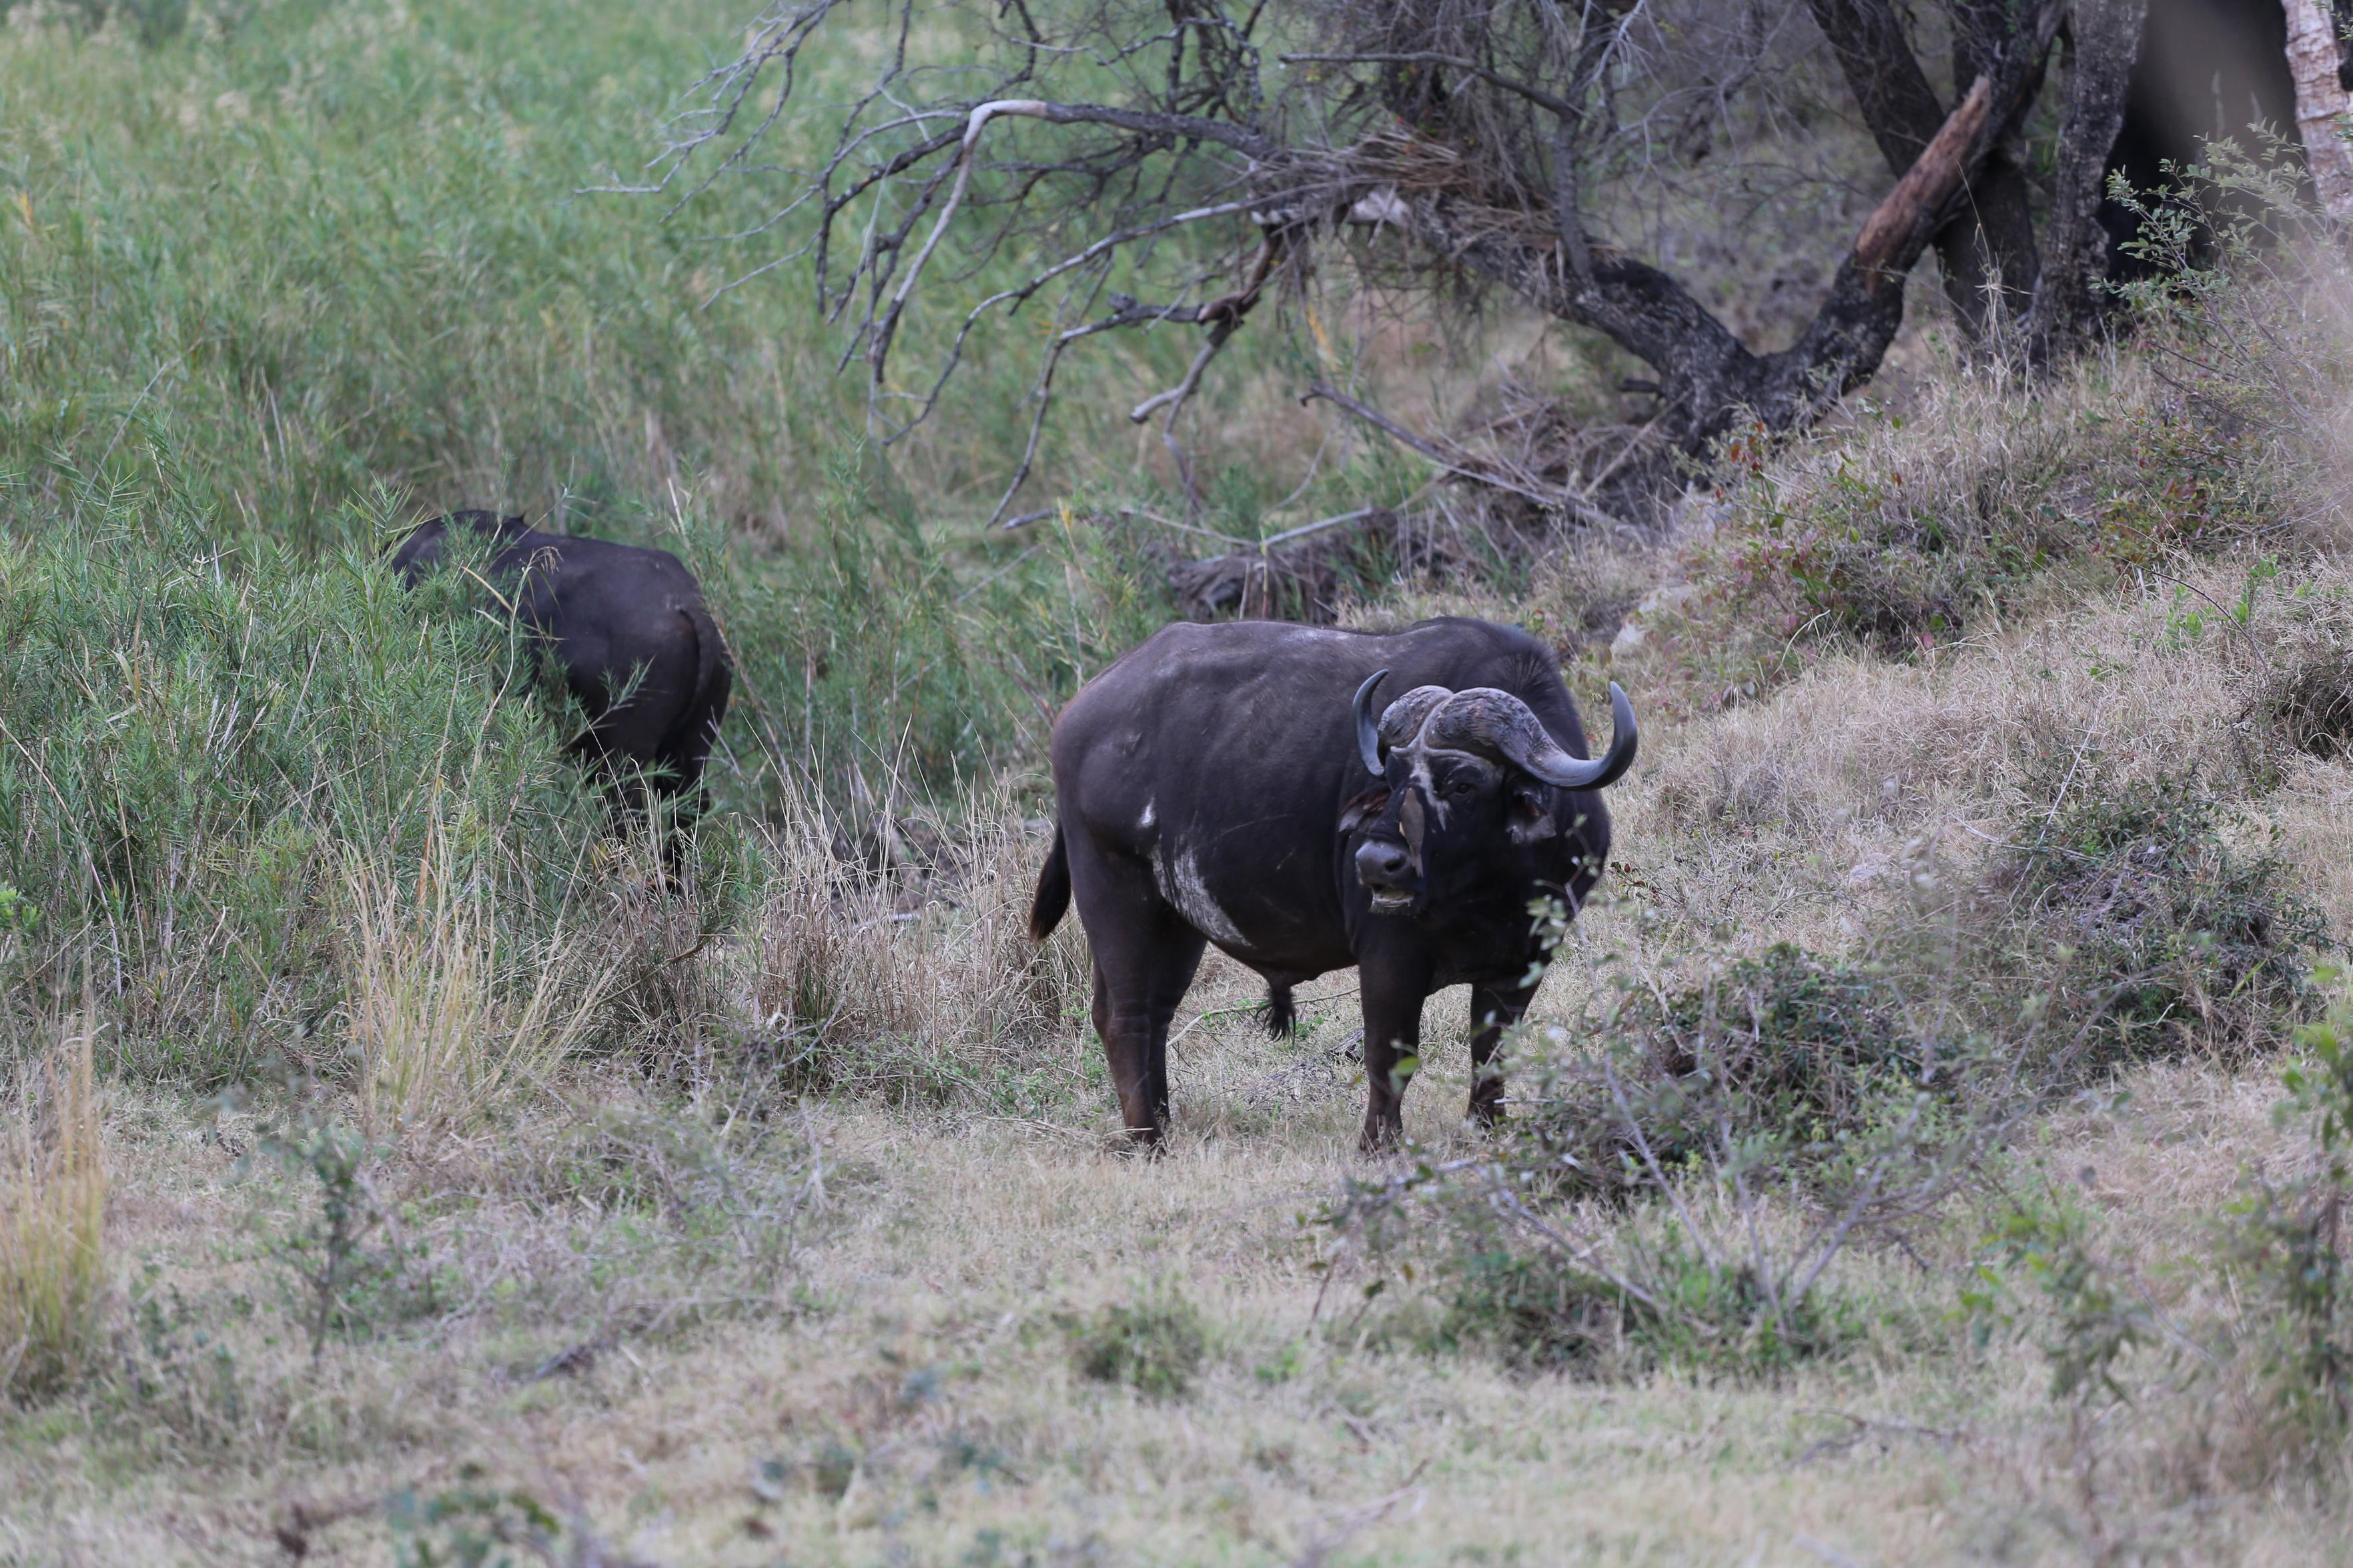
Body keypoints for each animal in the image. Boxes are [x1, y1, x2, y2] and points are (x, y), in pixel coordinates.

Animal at [1029, 615, 1636, 1149]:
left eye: (1462, 783)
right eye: (1392, 776)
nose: (1374, 862)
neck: (1487, 891)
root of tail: (1076, 718)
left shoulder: (1521, 962)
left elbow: (1490, 1053)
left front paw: (1484, 1131)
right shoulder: (1388, 956)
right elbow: (1388, 1058)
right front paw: (1377, 1146)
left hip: (1177, 923)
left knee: (1153, 1014)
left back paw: (1161, 1122)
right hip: (1115, 895)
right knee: (1124, 1016)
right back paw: (1148, 1139)